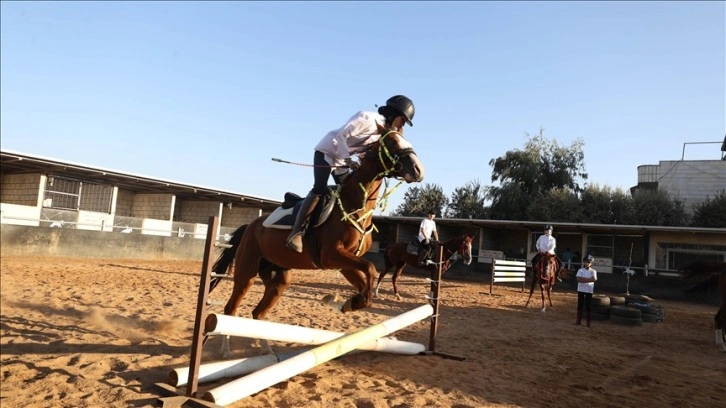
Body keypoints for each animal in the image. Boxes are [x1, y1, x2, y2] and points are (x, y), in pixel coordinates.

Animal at [209, 126, 426, 356]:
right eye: (392, 142)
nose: (418, 170)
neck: (355, 207)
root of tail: (250, 226)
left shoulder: (345, 262)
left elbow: (365, 279)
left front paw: (345, 303)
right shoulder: (331, 256)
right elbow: (370, 269)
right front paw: (345, 302)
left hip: (278, 278)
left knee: (258, 314)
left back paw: (269, 352)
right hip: (246, 273)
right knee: (230, 309)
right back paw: (227, 351)